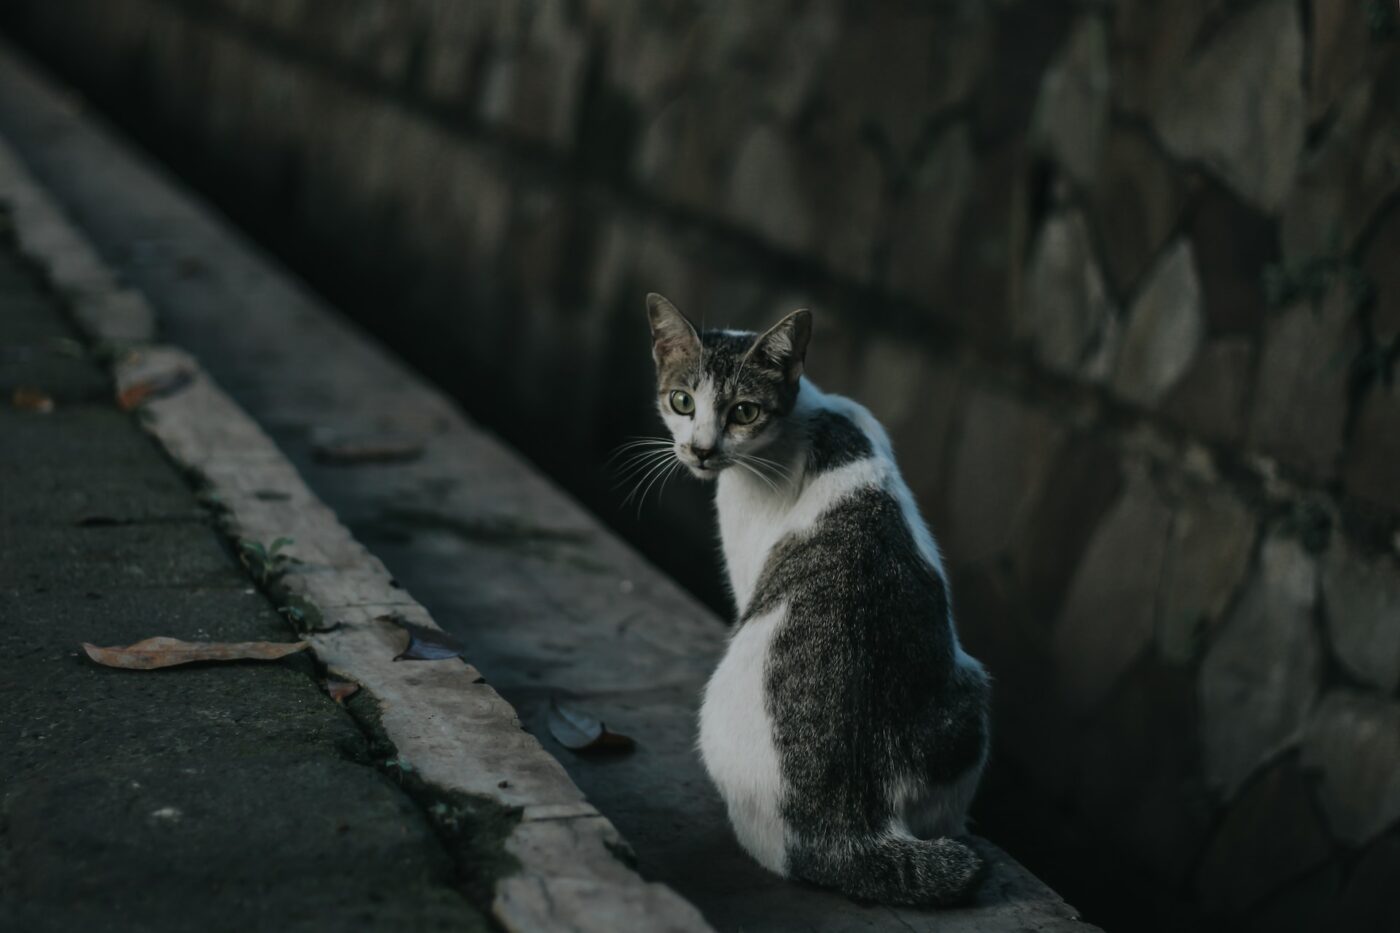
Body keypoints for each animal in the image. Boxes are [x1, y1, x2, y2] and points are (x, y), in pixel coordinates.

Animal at [646, 292, 996, 902]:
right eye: (682, 401)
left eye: (743, 411)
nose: (701, 450)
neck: (809, 417)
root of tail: (848, 828)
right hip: (970, 700)